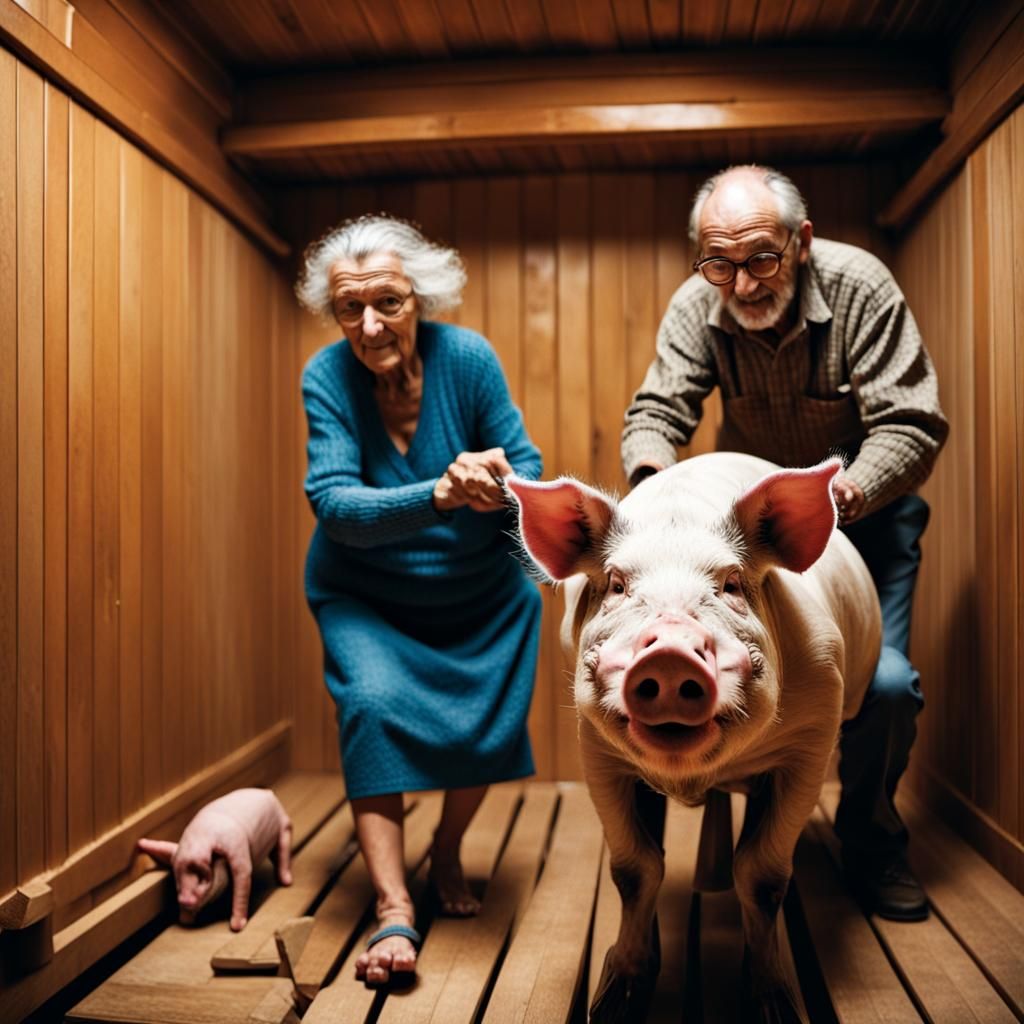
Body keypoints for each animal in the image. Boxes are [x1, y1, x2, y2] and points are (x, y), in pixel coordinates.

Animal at [137, 787, 293, 931]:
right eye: (177, 880)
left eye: (202, 879)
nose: (184, 899)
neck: (200, 838)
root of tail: (267, 792)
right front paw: (185, 921)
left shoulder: (239, 850)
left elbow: (243, 880)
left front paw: (236, 926)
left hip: (284, 824)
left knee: (283, 851)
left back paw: (286, 881)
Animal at [507, 453, 881, 1024]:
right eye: (616, 585)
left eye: (731, 584)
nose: (670, 651)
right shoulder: (596, 752)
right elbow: (634, 868)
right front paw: (614, 1002)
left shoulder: (812, 740)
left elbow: (763, 875)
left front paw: (774, 1007)